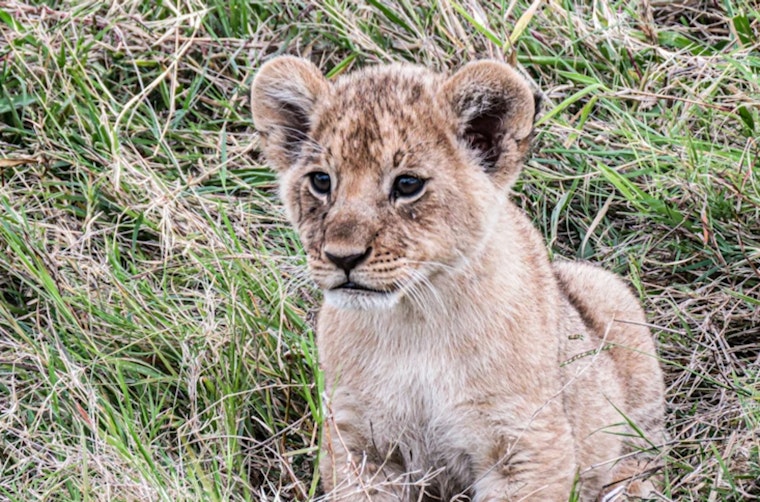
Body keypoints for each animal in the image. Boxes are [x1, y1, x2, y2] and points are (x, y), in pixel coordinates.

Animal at [251, 56, 665, 501]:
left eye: (408, 184)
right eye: (321, 181)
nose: (342, 256)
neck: (414, 323)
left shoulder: (528, 444)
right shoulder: (358, 444)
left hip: (610, 298)